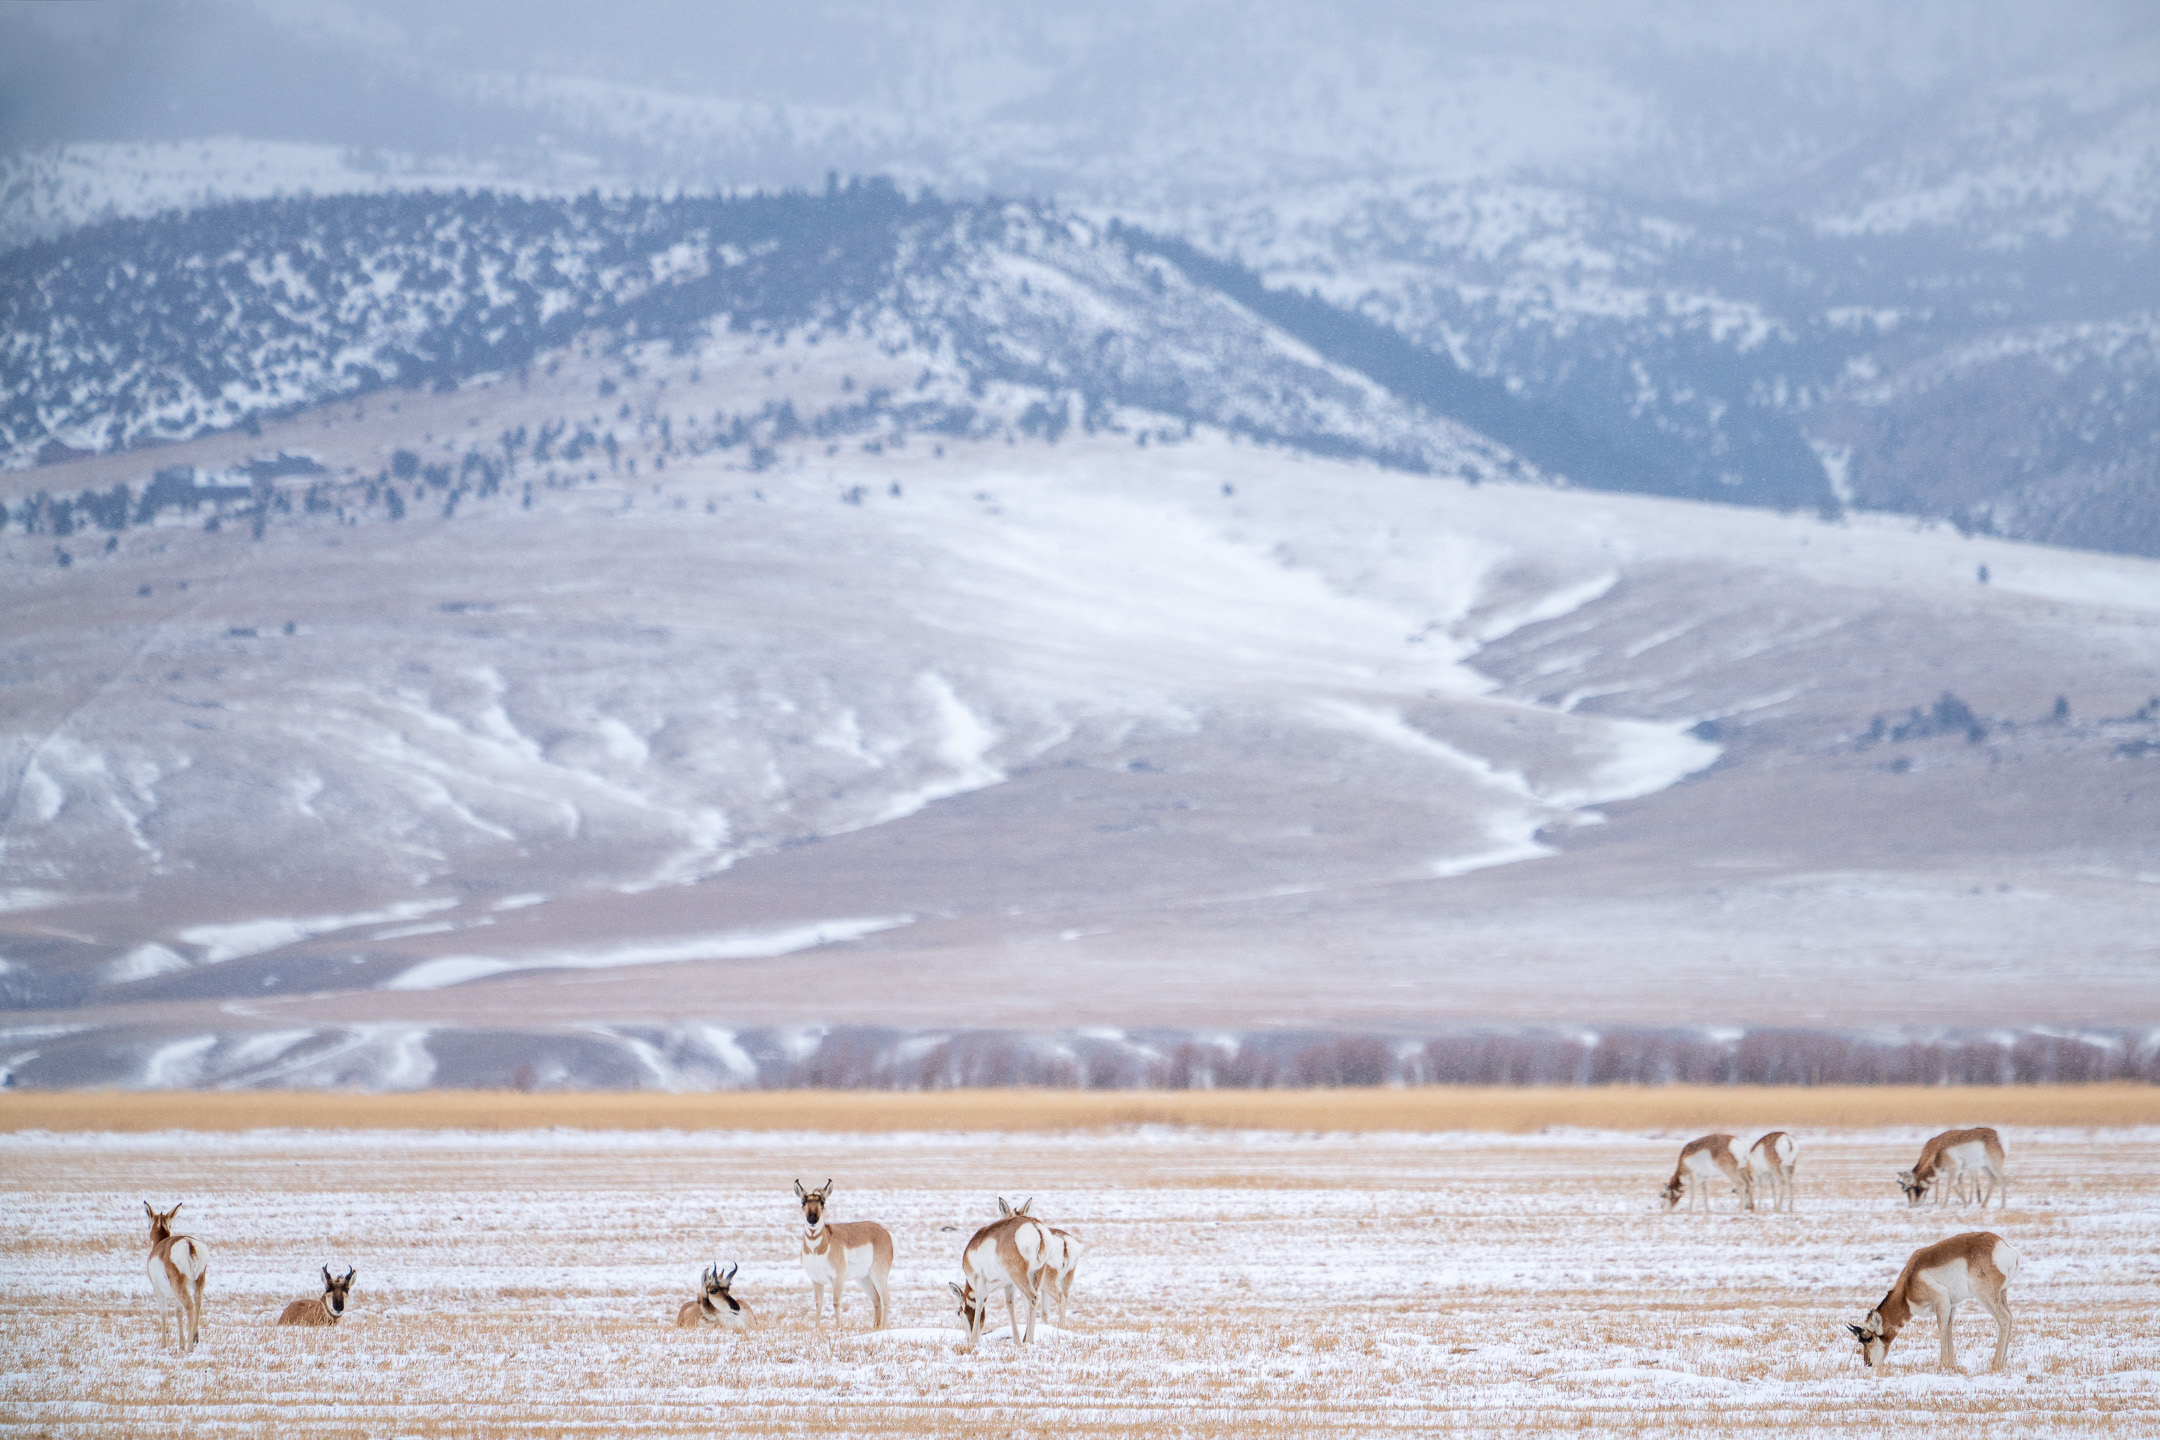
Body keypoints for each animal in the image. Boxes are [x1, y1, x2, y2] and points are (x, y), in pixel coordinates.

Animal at [143, 1200, 208, 1355]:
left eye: (148, 1225)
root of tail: (189, 1243)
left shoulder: (158, 1290)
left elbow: (164, 1312)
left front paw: (163, 1344)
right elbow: (178, 1313)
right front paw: (181, 1345)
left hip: (178, 1286)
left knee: (189, 1305)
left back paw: (190, 1347)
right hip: (197, 1282)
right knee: (197, 1303)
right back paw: (195, 1339)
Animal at [794, 1183, 894, 1329]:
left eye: (822, 1202)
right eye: (803, 1202)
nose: (812, 1220)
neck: (818, 1249)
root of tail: (884, 1231)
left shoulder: (838, 1279)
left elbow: (836, 1302)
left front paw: (838, 1327)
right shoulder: (816, 1280)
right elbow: (818, 1304)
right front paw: (817, 1328)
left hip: (878, 1274)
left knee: (885, 1298)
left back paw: (883, 1328)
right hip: (863, 1278)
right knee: (876, 1299)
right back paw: (875, 1328)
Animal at [950, 1208, 1049, 1355]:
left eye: (958, 1312)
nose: (967, 1339)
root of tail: (1033, 1224)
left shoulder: (979, 1281)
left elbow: (979, 1304)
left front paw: (974, 1341)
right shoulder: (1009, 1284)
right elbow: (1010, 1305)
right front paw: (1017, 1341)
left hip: (1019, 1275)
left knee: (1033, 1298)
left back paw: (1029, 1341)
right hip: (1034, 1274)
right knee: (1029, 1303)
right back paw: (1027, 1340)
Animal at [1848, 1226, 2013, 1373]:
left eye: (1869, 1338)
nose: (1868, 1364)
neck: (1908, 1283)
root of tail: (2002, 1246)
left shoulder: (1941, 1301)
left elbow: (1942, 1328)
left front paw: (1942, 1366)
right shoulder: (1951, 1306)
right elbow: (1949, 1328)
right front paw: (1951, 1365)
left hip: (1986, 1296)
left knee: (2003, 1318)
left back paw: (1995, 1365)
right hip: (2001, 1294)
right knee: (2010, 1318)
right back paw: (2003, 1363)